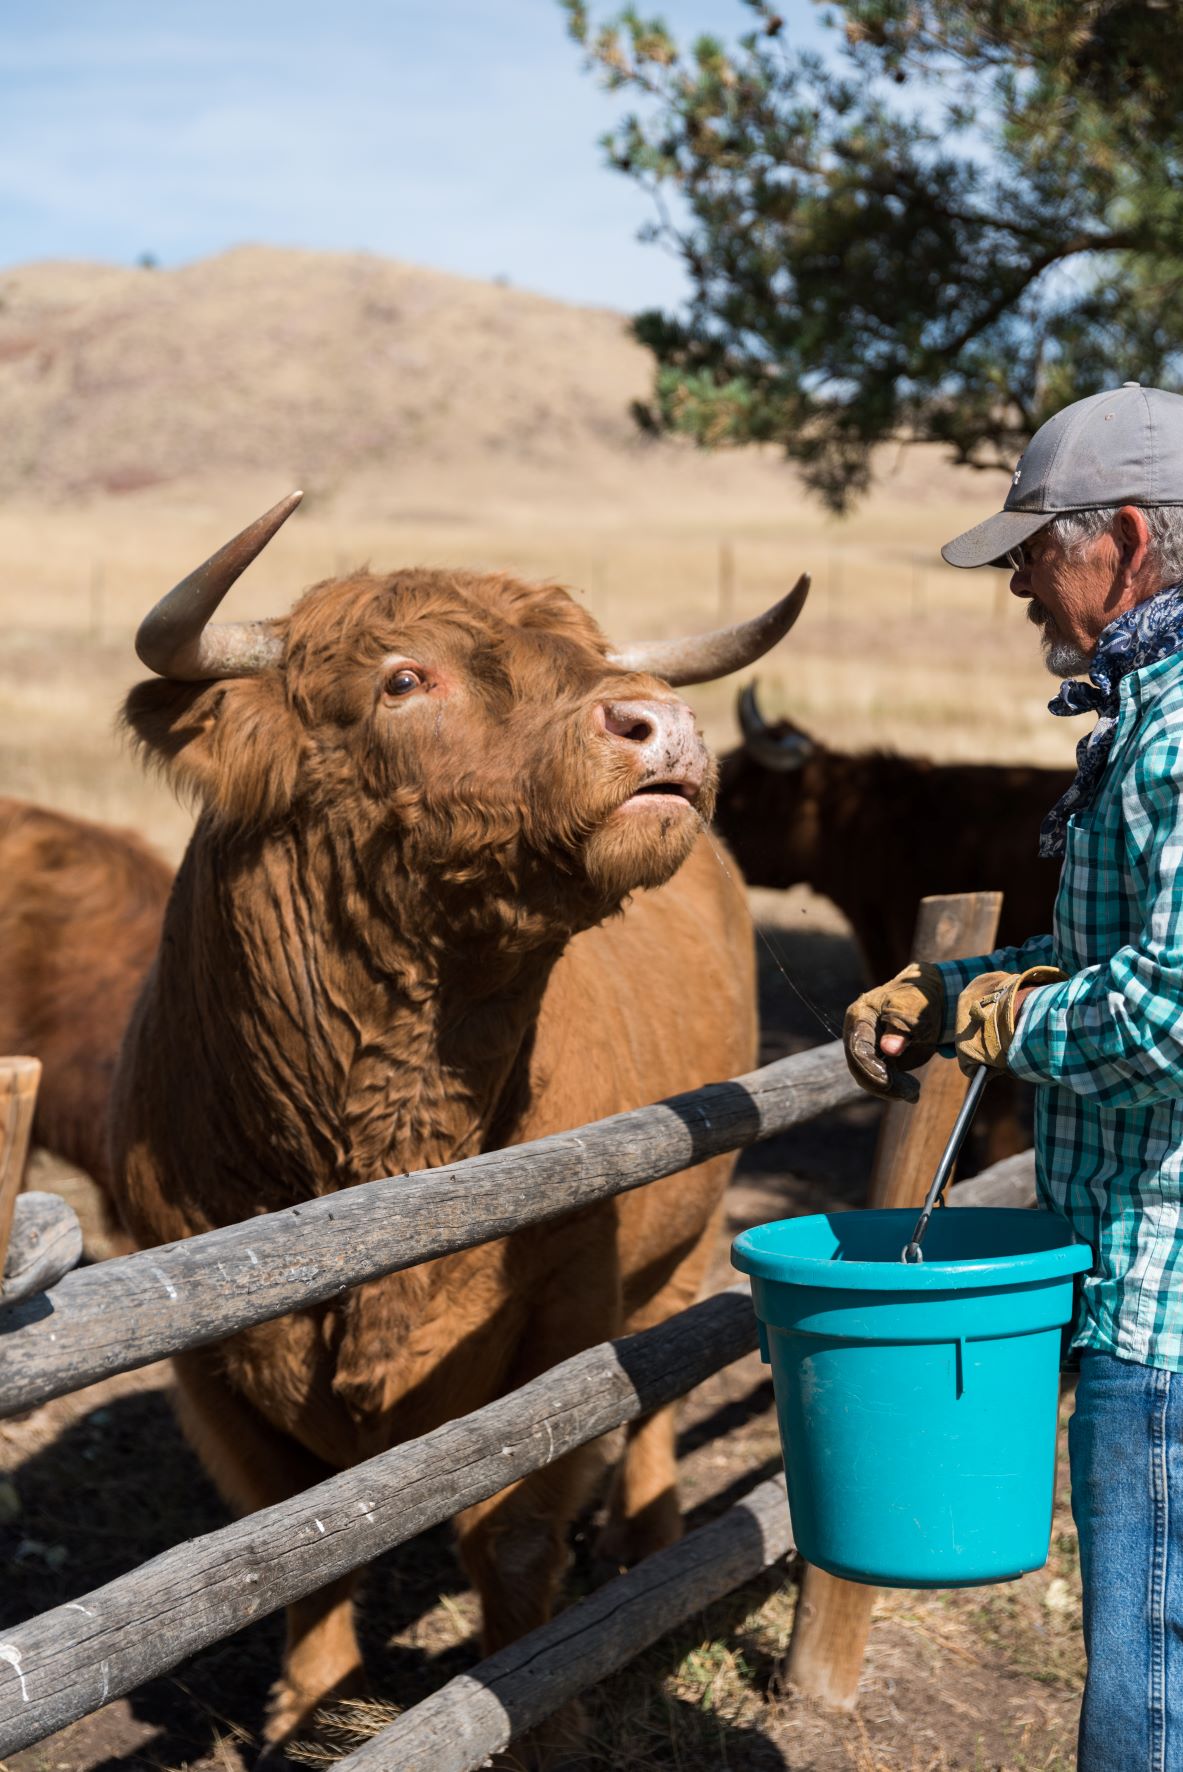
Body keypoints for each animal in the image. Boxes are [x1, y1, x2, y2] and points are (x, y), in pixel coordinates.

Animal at [106, 493, 808, 1752]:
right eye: (400, 678)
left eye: (590, 655)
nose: (662, 723)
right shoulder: (208, 1363)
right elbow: (301, 1541)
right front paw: (308, 1711)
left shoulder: (572, 1308)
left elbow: (513, 1528)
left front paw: (540, 1712)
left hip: (695, 1222)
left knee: (665, 1386)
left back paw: (647, 1536)